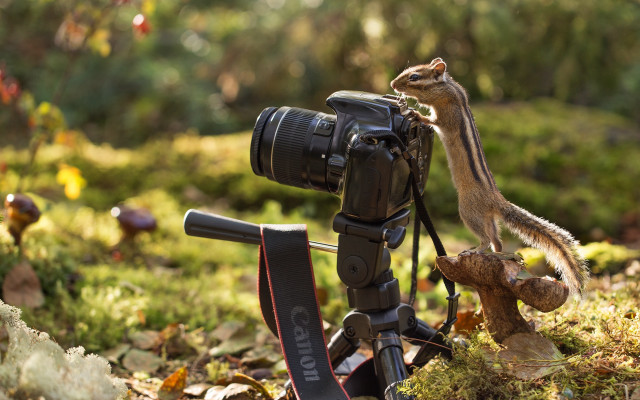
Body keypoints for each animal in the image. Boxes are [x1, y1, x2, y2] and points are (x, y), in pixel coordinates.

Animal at [390, 58, 589, 295]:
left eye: (414, 77)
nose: (392, 84)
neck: (449, 89)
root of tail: (497, 200)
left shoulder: (447, 116)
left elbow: (434, 122)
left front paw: (417, 116)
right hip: (490, 220)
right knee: (498, 242)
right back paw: (498, 255)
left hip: (468, 211)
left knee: (485, 239)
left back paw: (474, 250)